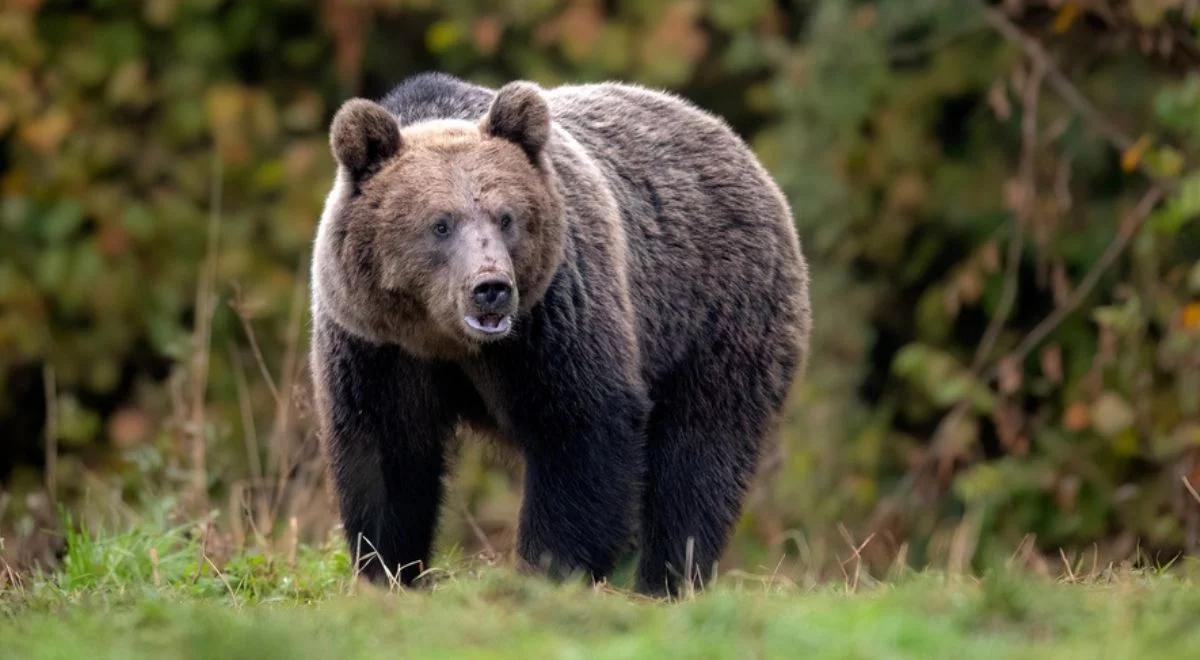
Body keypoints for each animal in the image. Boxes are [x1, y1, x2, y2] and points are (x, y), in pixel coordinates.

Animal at [312, 73, 806, 600]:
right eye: (440, 224)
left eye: (506, 217)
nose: (491, 288)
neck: (446, 339)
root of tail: (737, 145)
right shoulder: (376, 344)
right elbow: (385, 454)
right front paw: (389, 571)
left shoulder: (553, 317)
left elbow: (581, 426)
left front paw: (547, 568)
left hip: (714, 313)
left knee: (698, 454)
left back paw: (665, 579)